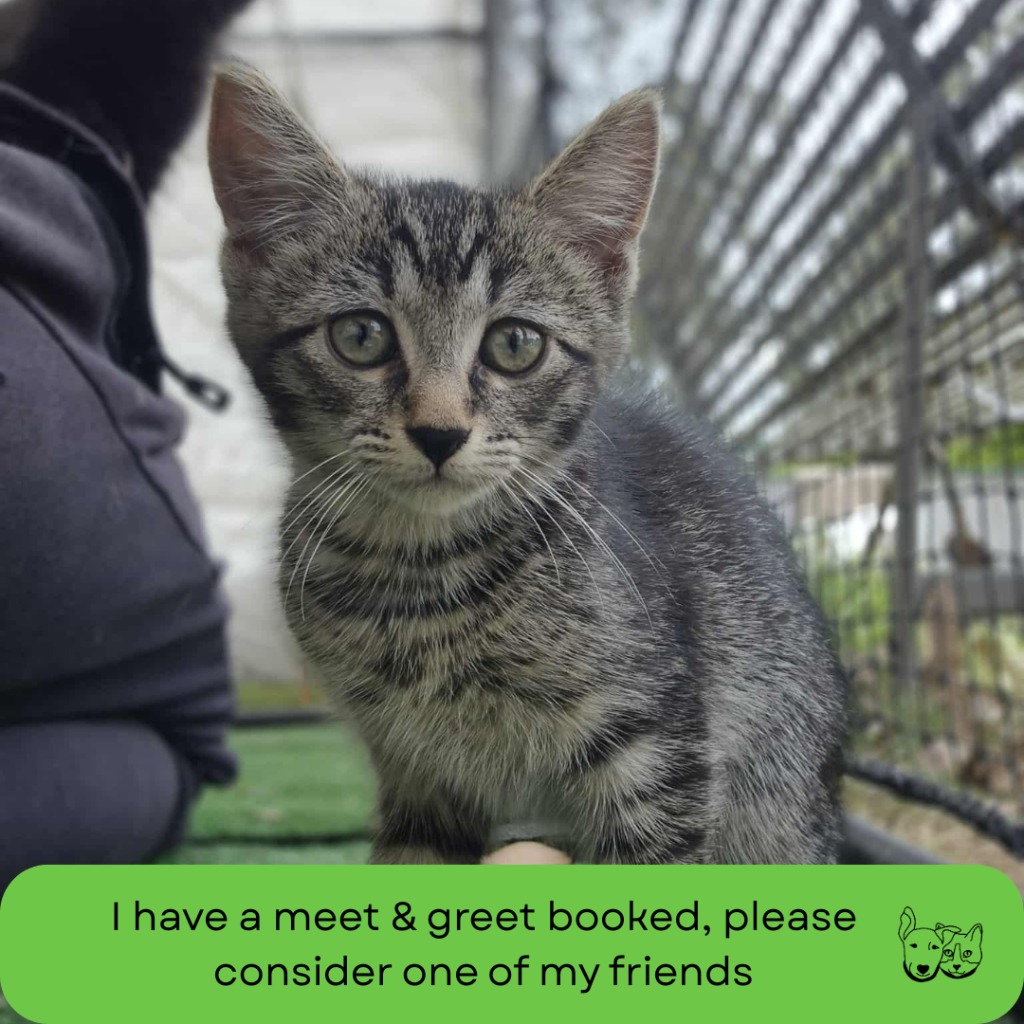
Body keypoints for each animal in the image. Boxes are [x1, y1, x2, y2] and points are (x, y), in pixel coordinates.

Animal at [207, 62, 847, 864]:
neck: (418, 574)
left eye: (515, 344)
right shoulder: (415, 774)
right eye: (360, 336)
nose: (439, 432)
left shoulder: (654, 748)